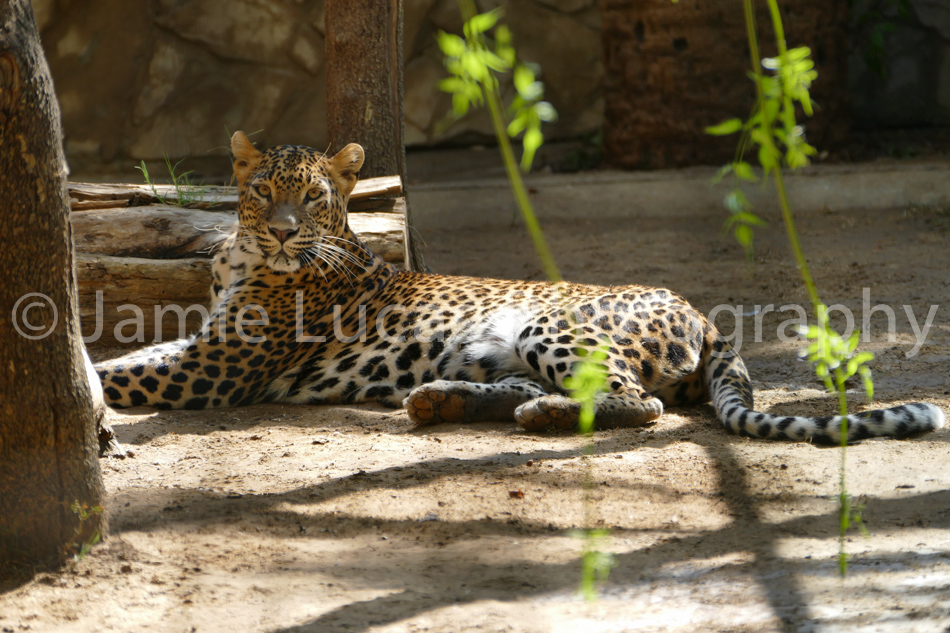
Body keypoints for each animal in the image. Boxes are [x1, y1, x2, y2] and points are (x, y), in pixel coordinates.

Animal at [93, 131, 945, 444]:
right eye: (263, 191)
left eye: (313, 198)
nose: (280, 231)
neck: (241, 256)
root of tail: (703, 317)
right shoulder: (201, 341)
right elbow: (116, 357)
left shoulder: (213, 367)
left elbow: (119, 374)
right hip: (502, 347)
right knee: (546, 388)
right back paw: (445, 401)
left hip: (554, 326)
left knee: (641, 403)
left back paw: (533, 414)